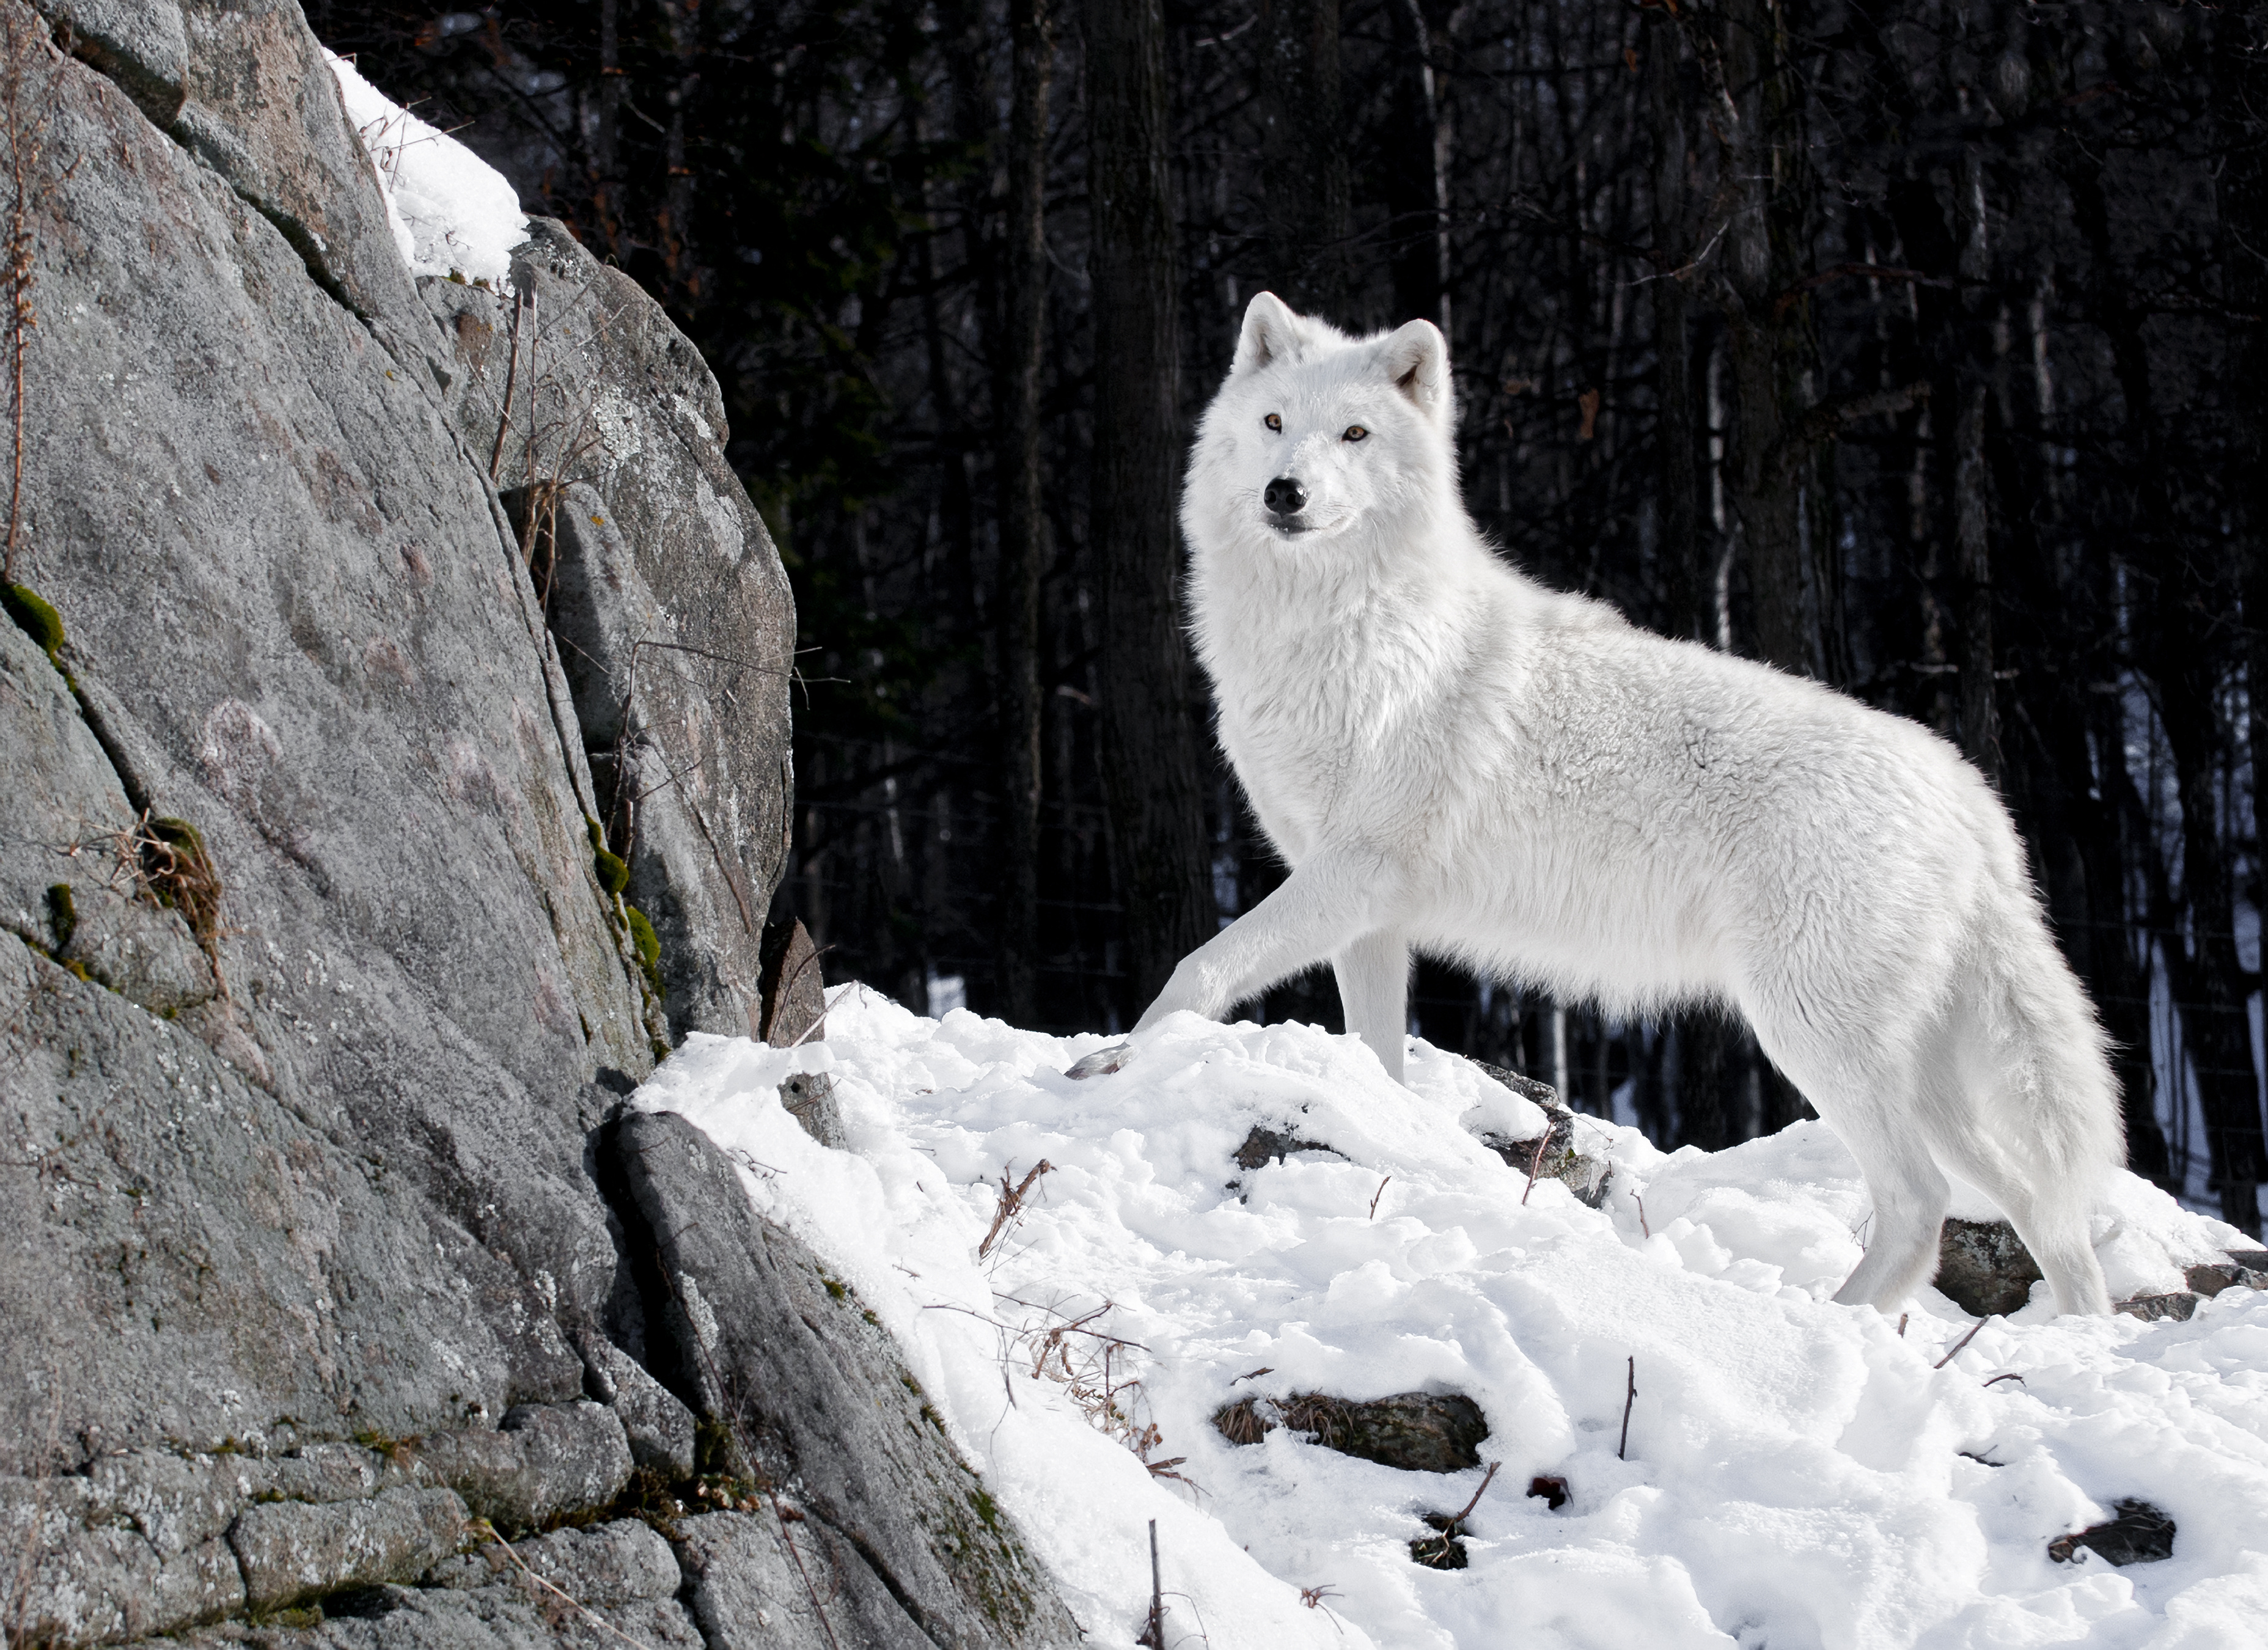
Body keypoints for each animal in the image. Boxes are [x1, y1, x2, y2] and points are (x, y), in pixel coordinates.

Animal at [1125, 292, 2113, 1314]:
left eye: (1353, 434)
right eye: (1274, 424)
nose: (1284, 492)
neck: (1338, 633)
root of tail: (1967, 792)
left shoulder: (1352, 872)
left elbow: (1195, 971)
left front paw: (1115, 1068)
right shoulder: (1366, 916)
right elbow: (1377, 1061)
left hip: (1810, 1034)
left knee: (1920, 1205)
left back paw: (1827, 1324)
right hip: (1918, 1076)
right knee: (2045, 1212)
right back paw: (2079, 1334)